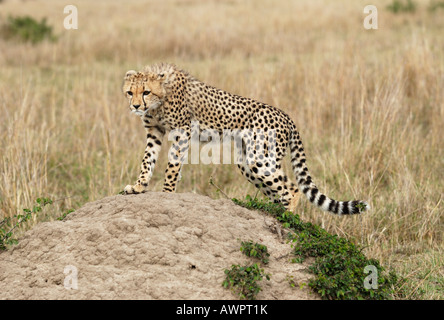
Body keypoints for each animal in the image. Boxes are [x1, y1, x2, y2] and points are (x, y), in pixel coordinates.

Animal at [123, 63, 370, 215]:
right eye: (130, 92)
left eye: (145, 92)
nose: (135, 106)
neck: (160, 97)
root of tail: (286, 115)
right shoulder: (154, 131)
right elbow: (147, 160)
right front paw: (138, 186)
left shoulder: (181, 131)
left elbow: (172, 167)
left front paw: (166, 194)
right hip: (249, 163)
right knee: (280, 188)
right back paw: (274, 215)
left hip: (260, 160)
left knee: (291, 188)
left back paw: (288, 218)